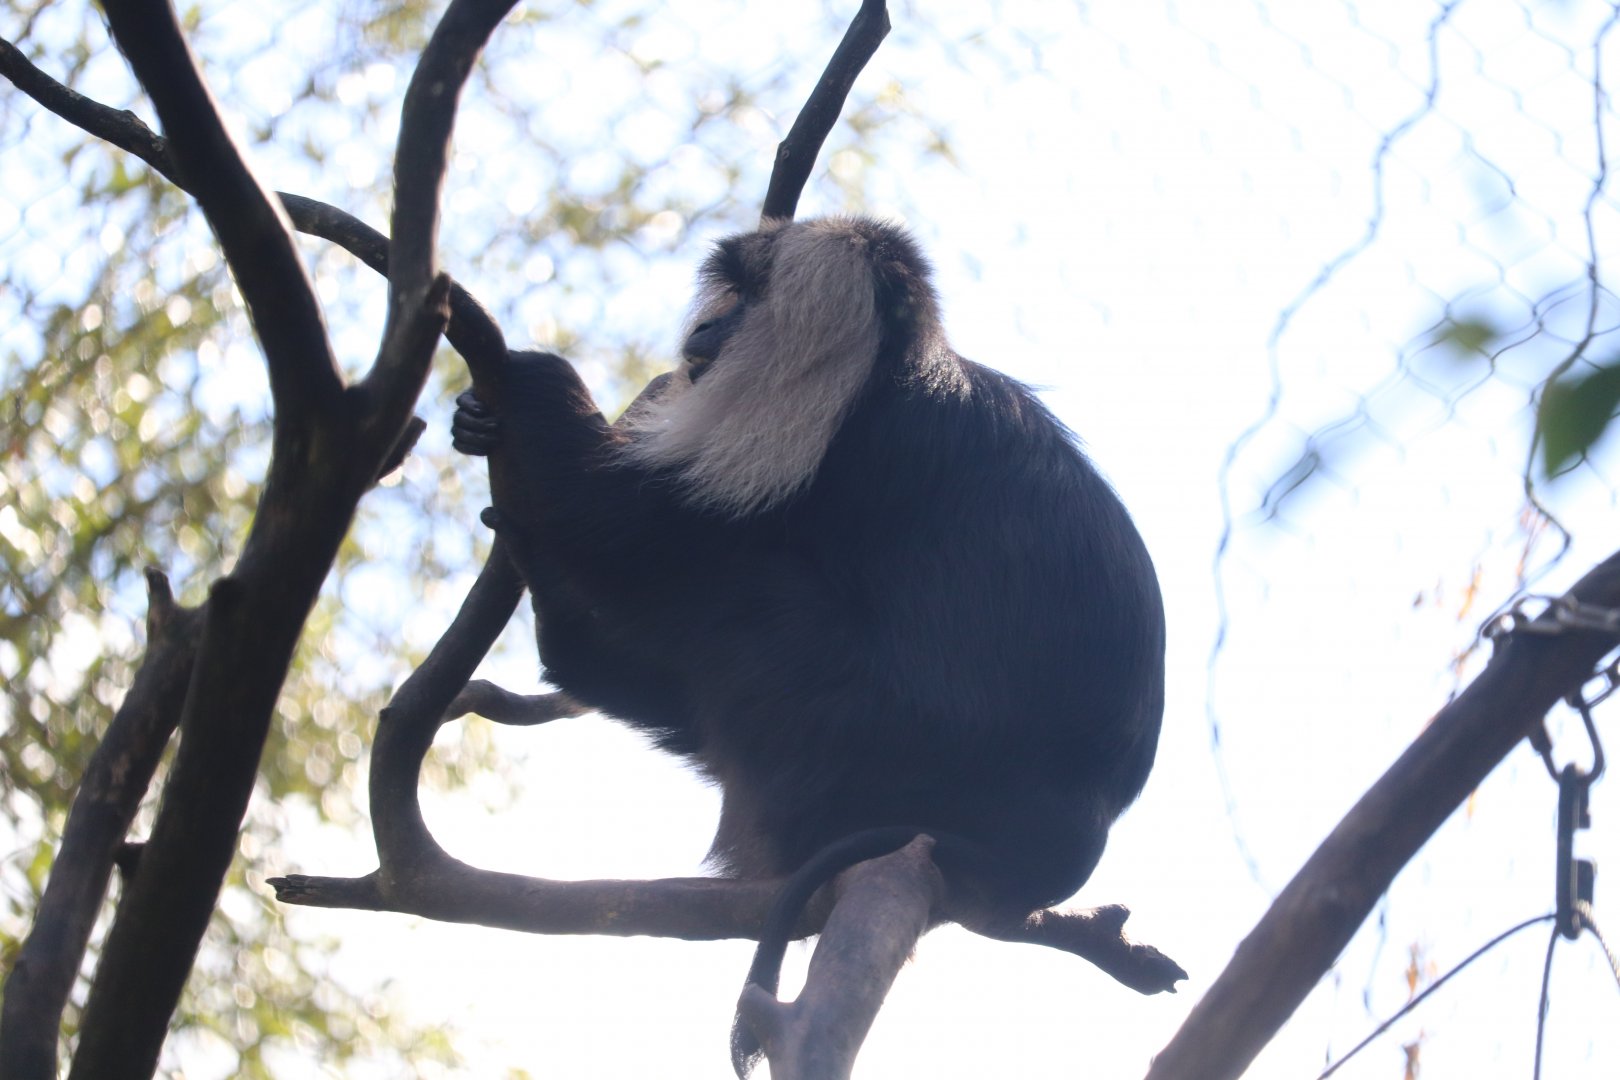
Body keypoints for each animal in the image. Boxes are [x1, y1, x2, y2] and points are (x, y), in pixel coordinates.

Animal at [451, 214, 1164, 1067]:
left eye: (750, 295)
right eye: (724, 294)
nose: (702, 332)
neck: (885, 372)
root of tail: (1066, 838)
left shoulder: (840, 440)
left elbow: (623, 524)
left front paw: (530, 381)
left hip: (867, 738)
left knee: (733, 590)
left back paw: (564, 631)